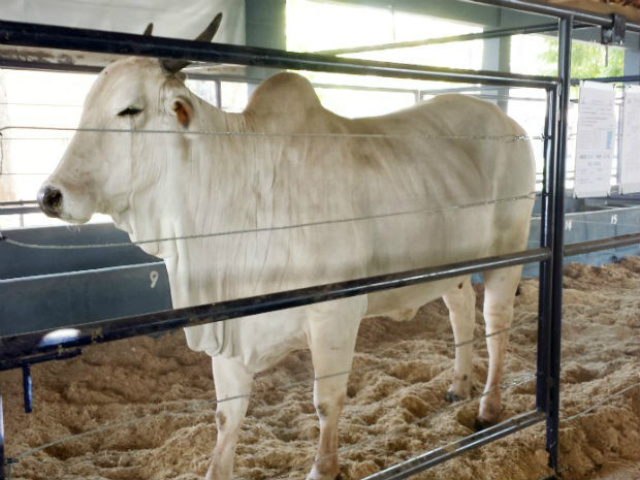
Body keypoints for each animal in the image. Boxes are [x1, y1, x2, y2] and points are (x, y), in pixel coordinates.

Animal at [38, 14, 536, 480]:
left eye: (129, 109)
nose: (50, 195)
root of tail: (510, 122)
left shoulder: (336, 314)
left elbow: (326, 400)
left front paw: (323, 468)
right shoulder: (230, 325)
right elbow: (227, 415)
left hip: (508, 255)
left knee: (497, 324)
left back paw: (488, 407)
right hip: (452, 265)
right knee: (460, 311)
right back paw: (458, 384)